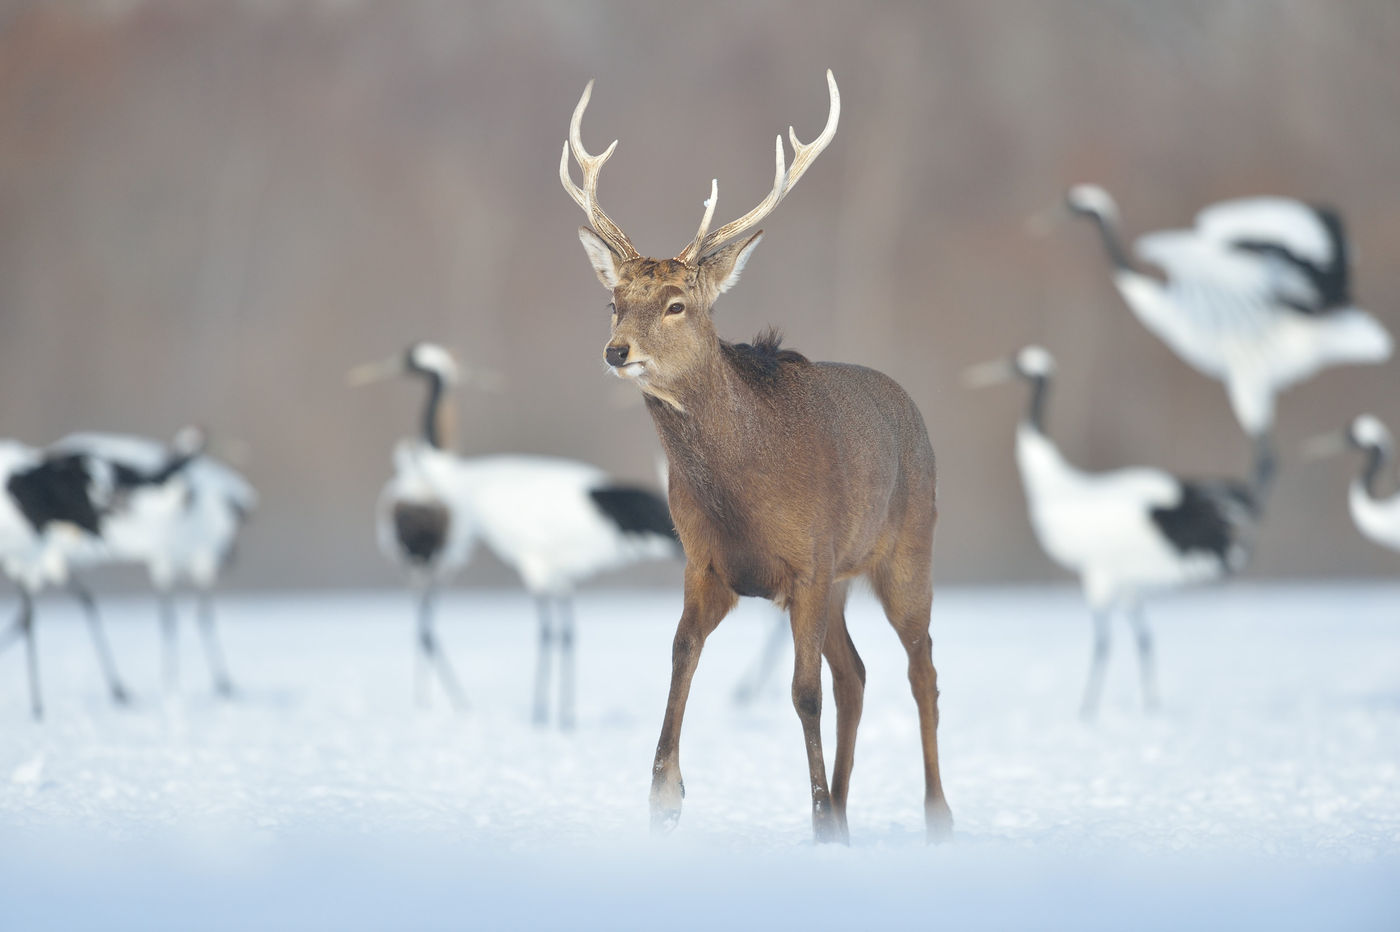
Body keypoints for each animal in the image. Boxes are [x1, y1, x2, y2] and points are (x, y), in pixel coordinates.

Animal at [560, 70, 952, 839]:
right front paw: (664, 796)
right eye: (614, 300)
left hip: (905, 550)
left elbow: (802, 693)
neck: (744, 490)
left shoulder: (809, 561)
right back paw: (847, 810)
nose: (616, 351)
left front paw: (816, 816)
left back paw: (936, 815)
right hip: (843, 581)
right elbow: (680, 656)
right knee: (857, 673)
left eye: (677, 303)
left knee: (920, 669)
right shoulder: (707, 561)